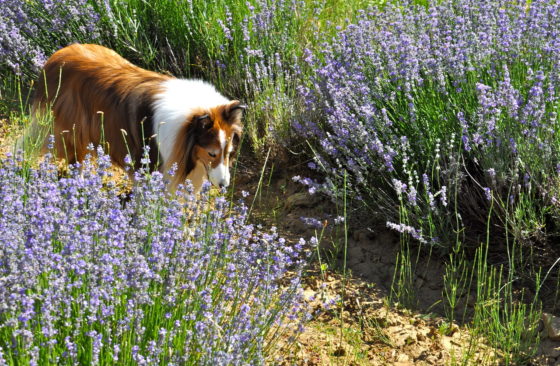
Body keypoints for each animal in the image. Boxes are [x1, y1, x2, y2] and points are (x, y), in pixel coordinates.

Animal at [30, 42, 244, 190]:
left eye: (229, 152)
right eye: (211, 153)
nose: (224, 185)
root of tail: (57, 57)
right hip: (74, 130)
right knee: (76, 160)